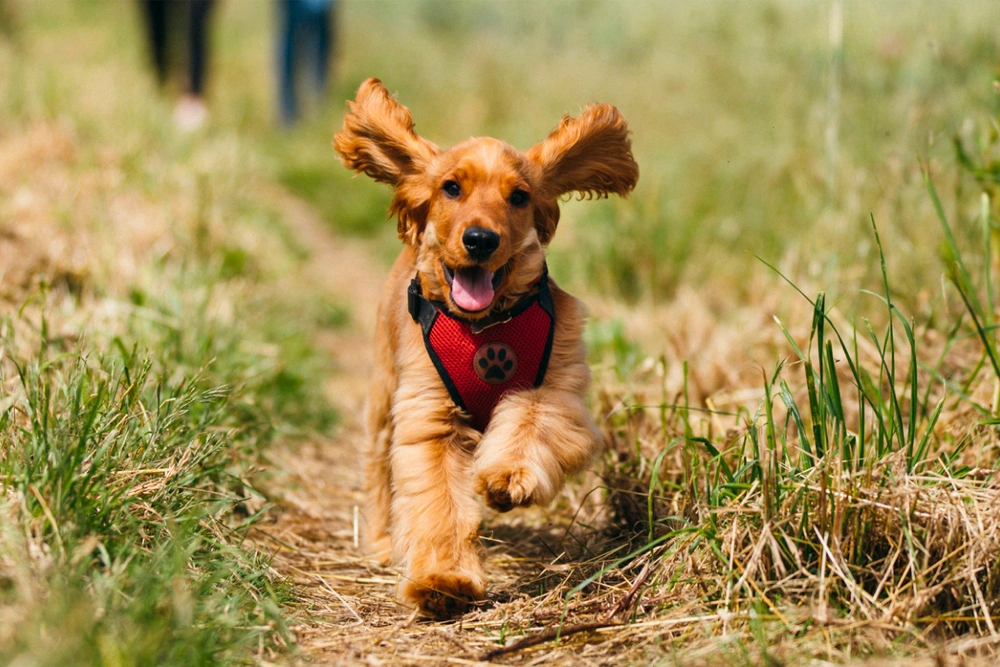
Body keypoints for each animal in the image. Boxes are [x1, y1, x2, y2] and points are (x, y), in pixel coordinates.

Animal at [332, 79, 636, 620]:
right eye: (452, 187)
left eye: (519, 197)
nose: (480, 239)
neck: (485, 326)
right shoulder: (429, 415)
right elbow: (436, 501)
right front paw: (442, 581)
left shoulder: (554, 386)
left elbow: (530, 424)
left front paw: (507, 477)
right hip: (384, 393)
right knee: (379, 467)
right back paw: (384, 541)